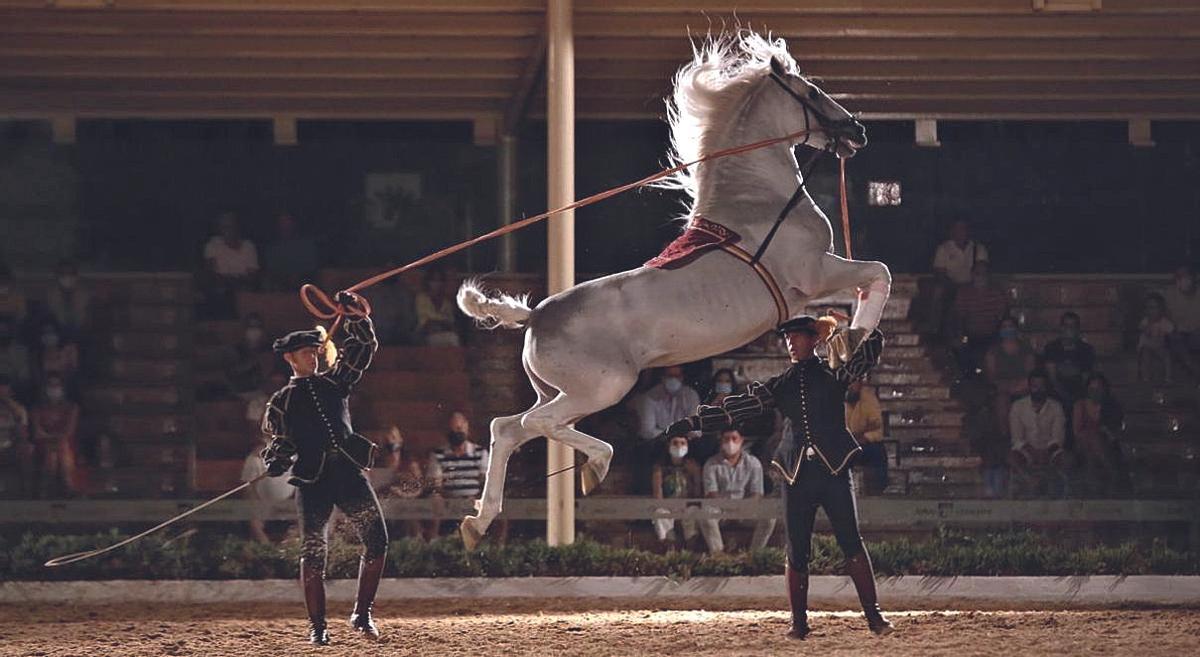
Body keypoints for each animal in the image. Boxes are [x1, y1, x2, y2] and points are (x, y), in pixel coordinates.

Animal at [455, 30, 890, 549]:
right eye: (812, 92)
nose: (857, 131)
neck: (758, 200)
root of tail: (535, 315)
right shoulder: (816, 272)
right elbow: (878, 273)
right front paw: (853, 339)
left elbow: (871, 280)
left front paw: (844, 340)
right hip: (600, 389)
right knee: (533, 425)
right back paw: (595, 465)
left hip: (555, 393)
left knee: (506, 429)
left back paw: (478, 523)